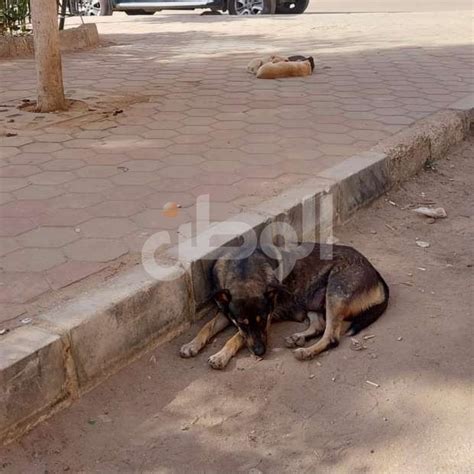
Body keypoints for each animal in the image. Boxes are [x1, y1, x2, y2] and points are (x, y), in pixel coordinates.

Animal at [179, 243, 388, 368]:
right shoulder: (227, 313)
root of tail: (375, 272)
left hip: (334, 292)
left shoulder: (268, 317)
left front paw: (221, 355)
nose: (260, 352)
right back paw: (298, 338)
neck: (244, 273)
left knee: (332, 337)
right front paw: (191, 345)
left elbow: (235, 338)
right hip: (312, 301)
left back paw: (306, 351)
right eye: (242, 322)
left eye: (263, 321)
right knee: (320, 325)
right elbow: (207, 327)